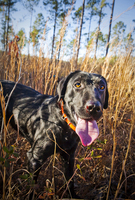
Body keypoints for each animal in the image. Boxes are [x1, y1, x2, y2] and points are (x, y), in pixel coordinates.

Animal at [0, 70, 108, 198]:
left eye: (102, 87)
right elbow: (31, 186)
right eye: (77, 84)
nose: (94, 107)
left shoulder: (69, 156)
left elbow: (70, 180)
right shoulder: (34, 158)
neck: (62, 122)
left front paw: (72, 196)